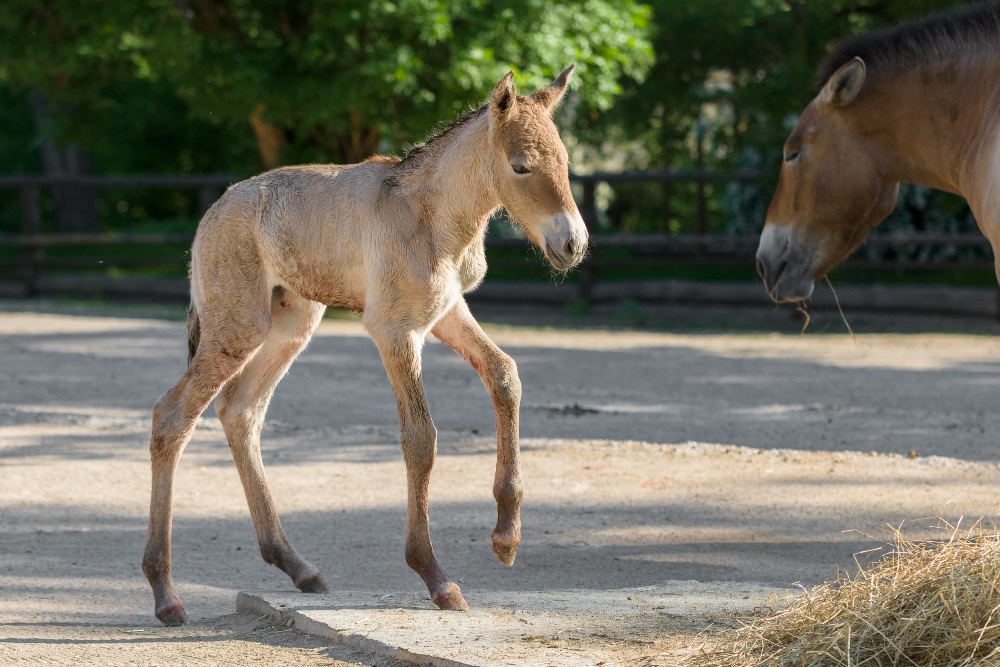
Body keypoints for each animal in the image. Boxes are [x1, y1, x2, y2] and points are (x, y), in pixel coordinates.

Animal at [145, 68, 588, 628]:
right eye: (521, 165)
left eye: (566, 163)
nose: (573, 245)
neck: (432, 214)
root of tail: (211, 215)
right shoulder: (394, 330)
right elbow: (420, 438)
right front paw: (436, 578)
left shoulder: (447, 312)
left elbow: (505, 374)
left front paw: (506, 539)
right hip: (236, 328)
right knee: (172, 417)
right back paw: (166, 594)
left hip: (290, 326)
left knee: (240, 412)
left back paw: (298, 568)